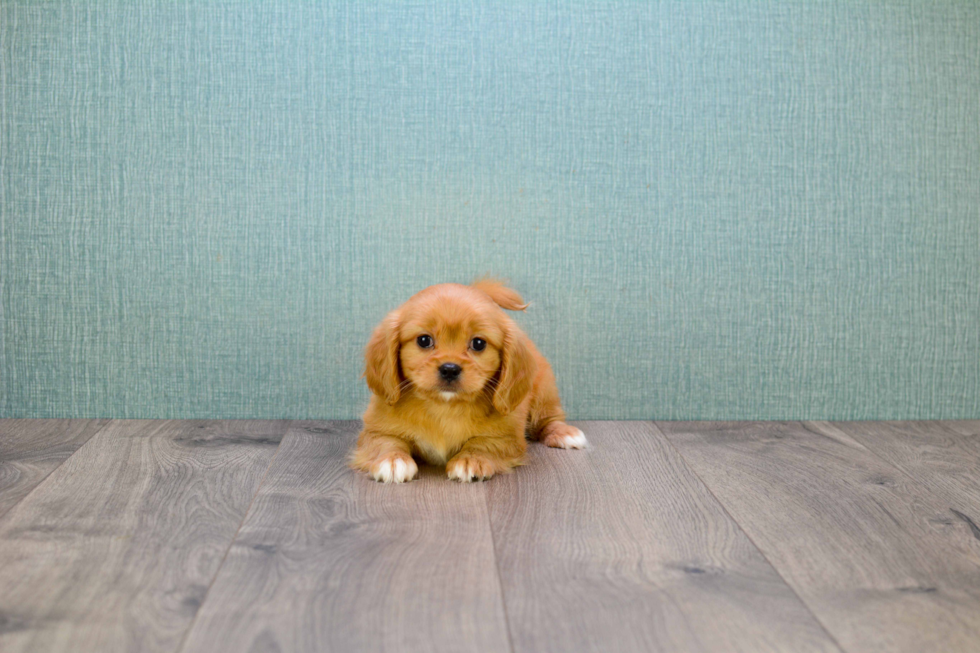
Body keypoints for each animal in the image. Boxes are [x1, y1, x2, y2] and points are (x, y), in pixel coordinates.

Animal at [350, 278, 584, 482]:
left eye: (478, 343)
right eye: (424, 340)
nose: (450, 369)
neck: (444, 407)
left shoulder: (506, 437)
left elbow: (483, 442)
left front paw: (471, 460)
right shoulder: (376, 429)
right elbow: (386, 441)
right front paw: (391, 460)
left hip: (544, 392)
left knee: (549, 418)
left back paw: (565, 433)